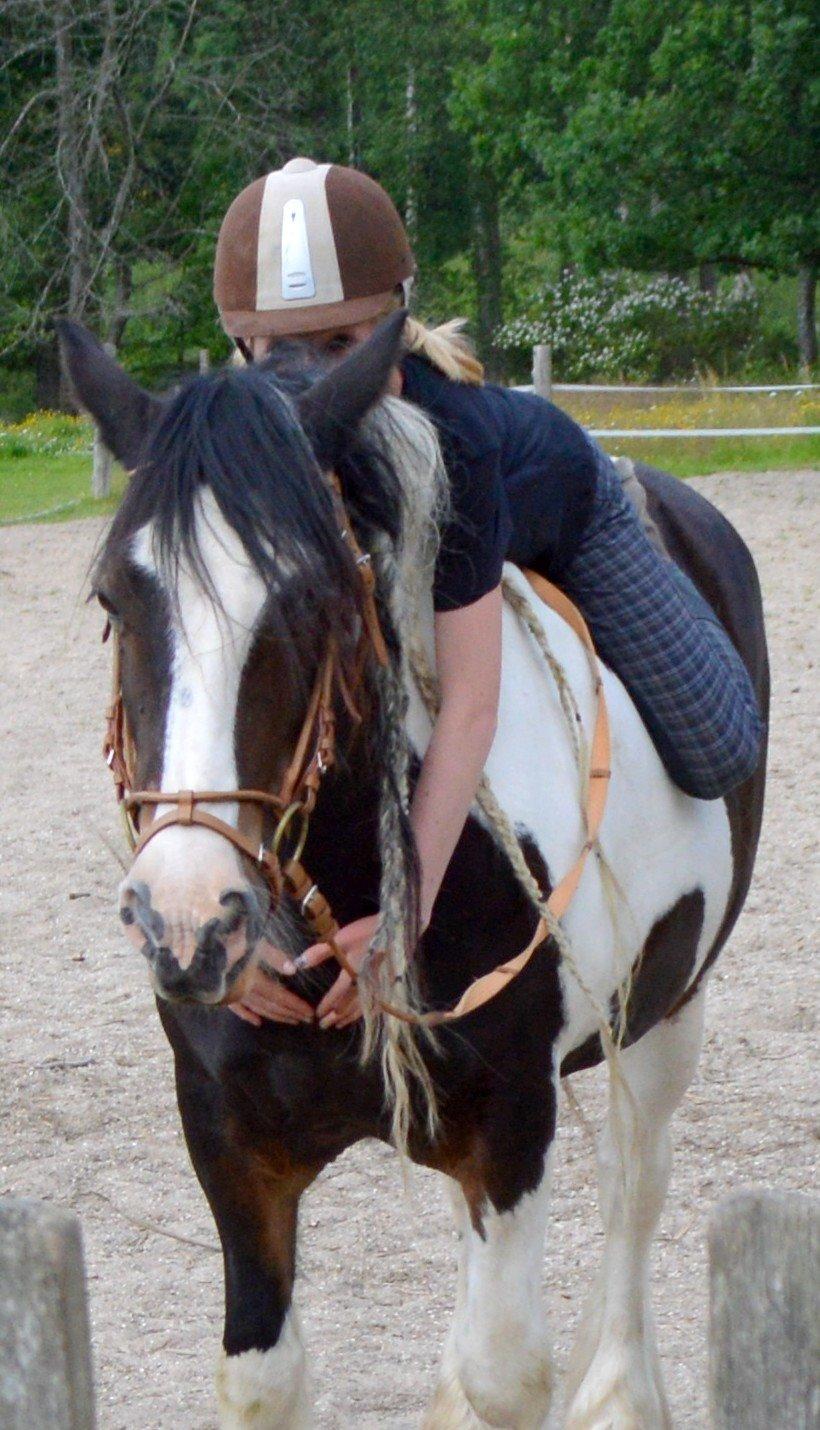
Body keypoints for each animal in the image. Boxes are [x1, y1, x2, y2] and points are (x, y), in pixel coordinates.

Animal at [59, 316, 767, 1430]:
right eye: (115, 596)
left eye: (311, 595)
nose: (188, 918)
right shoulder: (229, 1137)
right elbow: (263, 1375)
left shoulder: (511, 1125)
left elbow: (506, 1369)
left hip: (665, 1010)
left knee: (633, 1182)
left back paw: (620, 1388)